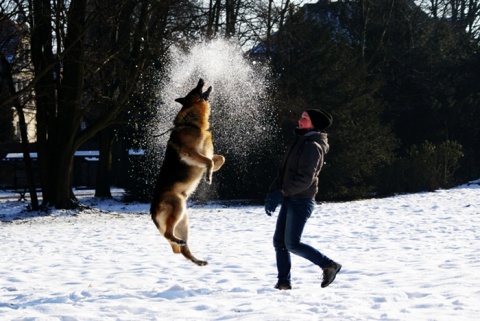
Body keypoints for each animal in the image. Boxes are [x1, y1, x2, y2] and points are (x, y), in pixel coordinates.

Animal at [150, 78, 225, 264]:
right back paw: (177, 242)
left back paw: (197, 260)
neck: (193, 123)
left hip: (183, 221)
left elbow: (219, 158)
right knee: (169, 234)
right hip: (177, 205)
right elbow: (208, 160)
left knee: (183, 249)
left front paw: (211, 172)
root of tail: (152, 212)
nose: (201, 79)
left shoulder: (206, 154)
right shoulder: (190, 153)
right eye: (195, 88)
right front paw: (208, 176)